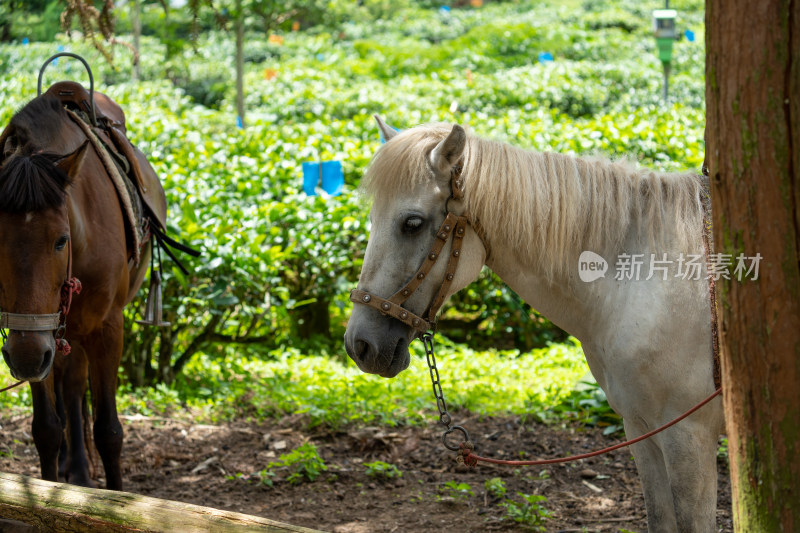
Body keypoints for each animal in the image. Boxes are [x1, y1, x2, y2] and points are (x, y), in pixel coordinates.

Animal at [0, 92, 162, 490]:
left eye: (62, 240)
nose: (27, 358)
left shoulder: (107, 329)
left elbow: (108, 431)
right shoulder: (32, 334)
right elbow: (46, 429)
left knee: (73, 386)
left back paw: (79, 471)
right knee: (66, 385)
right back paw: (70, 468)